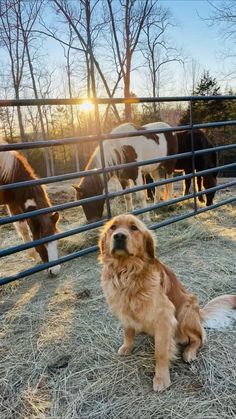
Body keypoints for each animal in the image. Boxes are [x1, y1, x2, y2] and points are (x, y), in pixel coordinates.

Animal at [99, 215, 236, 392]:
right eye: (113, 227)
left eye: (134, 228)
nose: (119, 236)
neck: (127, 273)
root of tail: (199, 312)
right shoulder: (125, 309)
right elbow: (128, 331)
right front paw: (127, 346)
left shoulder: (164, 317)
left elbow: (161, 352)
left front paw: (161, 378)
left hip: (185, 312)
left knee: (199, 339)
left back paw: (189, 352)